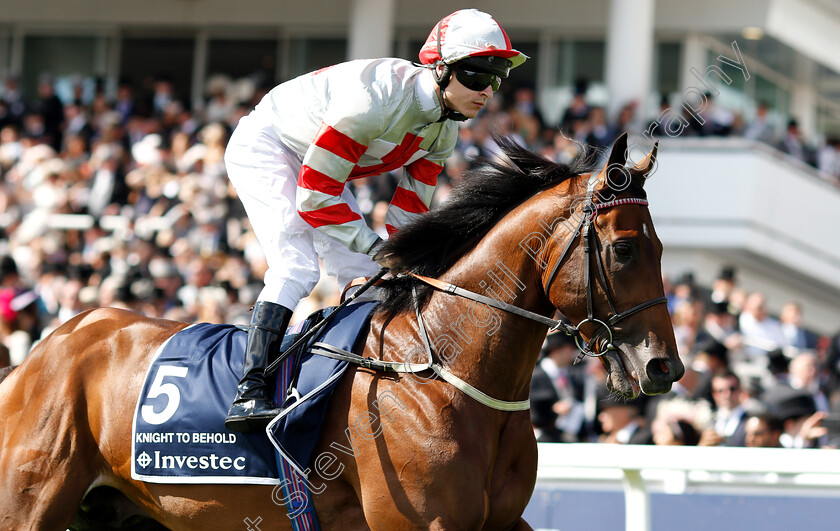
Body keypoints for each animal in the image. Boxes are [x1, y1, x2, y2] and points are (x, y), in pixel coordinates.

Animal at [1, 134, 684, 531]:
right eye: (624, 250)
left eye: (661, 249)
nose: (664, 367)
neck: (441, 371)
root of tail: (41, 352)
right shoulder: (418, 522)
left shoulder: (500, 522)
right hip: (29, 504)